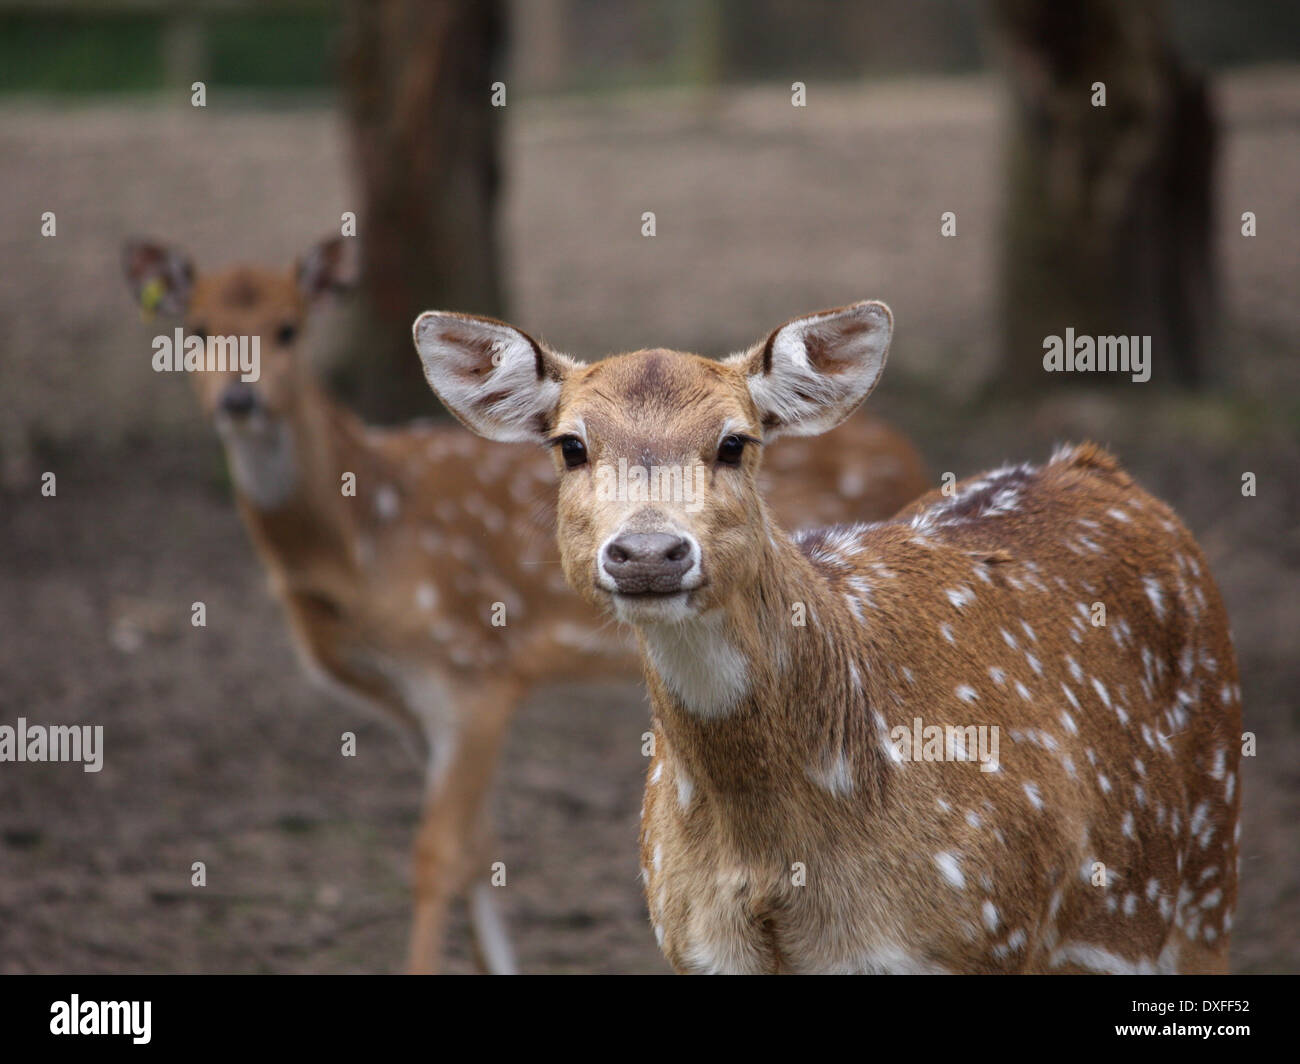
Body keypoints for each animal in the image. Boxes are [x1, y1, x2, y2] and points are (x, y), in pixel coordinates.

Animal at [120, 238, 931, 974]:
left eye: (288, 327)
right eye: (196, 329)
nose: (239, 398)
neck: (363, 544)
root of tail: (914, 457)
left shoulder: (475, 667)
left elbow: (436, 854)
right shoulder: (414, 699)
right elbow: (478, 846)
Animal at [413, 299, 1243, 974]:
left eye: (736, 442)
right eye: (570, 445)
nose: (649, 553)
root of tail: (1096, 465)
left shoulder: (984, 935)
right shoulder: (695, 947)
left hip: (1207, 870)